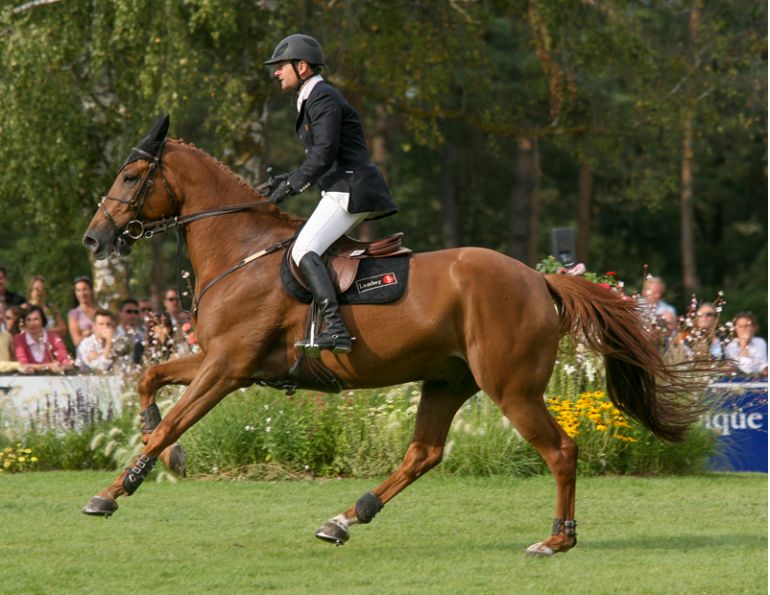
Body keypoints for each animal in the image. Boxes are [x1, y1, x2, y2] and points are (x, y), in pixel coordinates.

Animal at [81, 115, 703, 556]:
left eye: (131, 177)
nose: (94, 239)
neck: (242, 250)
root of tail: (538, 278)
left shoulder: (228, 367)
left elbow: (171, 419)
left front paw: (114, 491)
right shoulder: (222, 360)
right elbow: (149, 380)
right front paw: (164, 455)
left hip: (511, 388)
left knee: (560, 450)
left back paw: (556, 539)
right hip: (448, 380)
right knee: (423, 453)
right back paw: (344, 519)